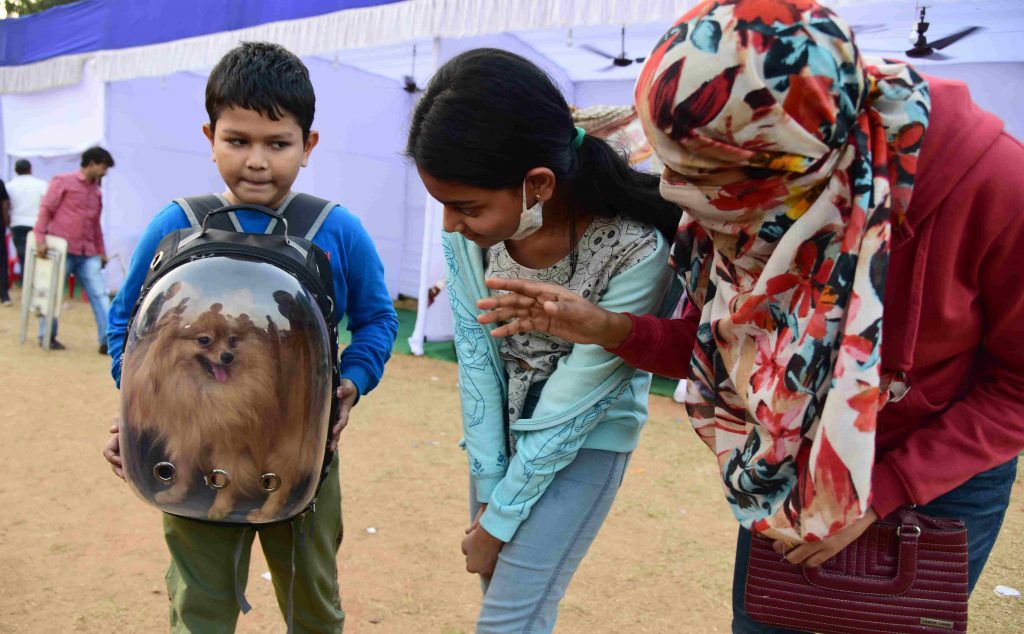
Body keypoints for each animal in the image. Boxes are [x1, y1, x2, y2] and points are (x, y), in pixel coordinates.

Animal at [121, 282, 325, 520]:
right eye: (204, 340)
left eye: (232, 340)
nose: (227, 356)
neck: (203, 390)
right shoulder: (187, 433)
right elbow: (182, 468)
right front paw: (175, 494)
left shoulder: (230, 443)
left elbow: (225, 478)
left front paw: (220, 507)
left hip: (288, 441)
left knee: (283, 482)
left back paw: (265, 513)